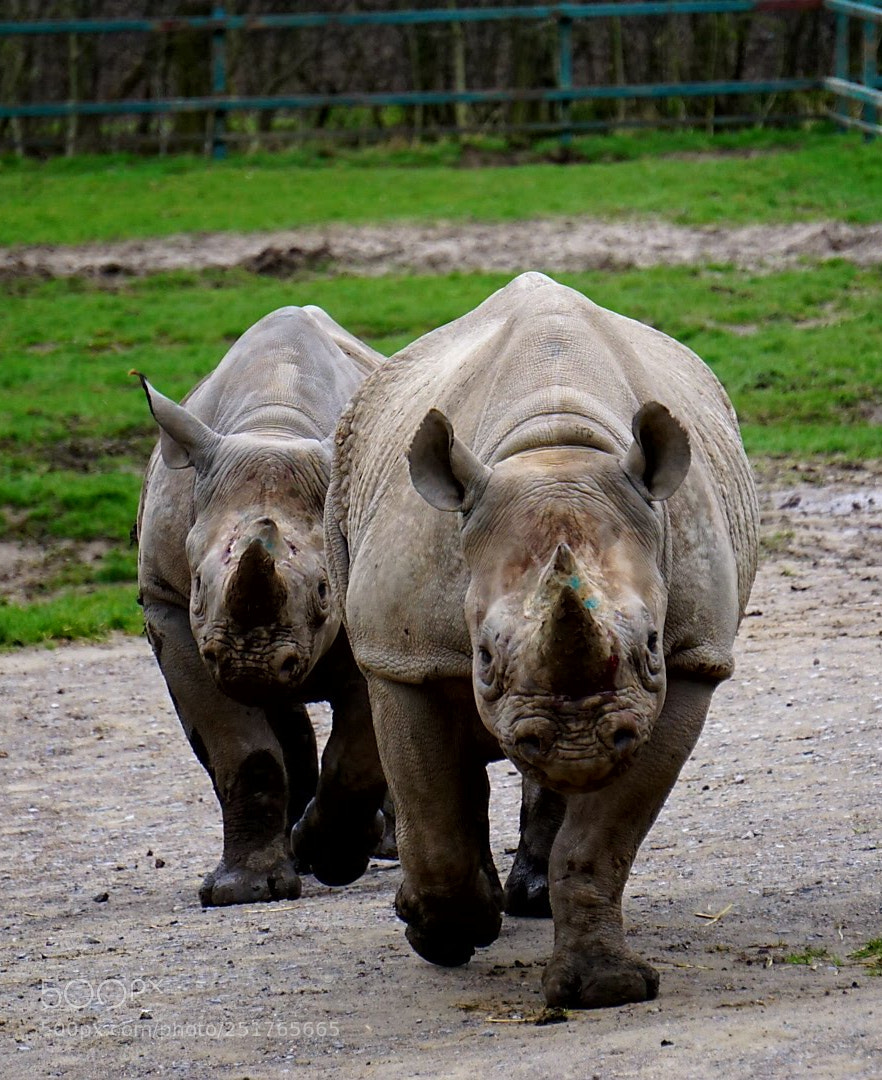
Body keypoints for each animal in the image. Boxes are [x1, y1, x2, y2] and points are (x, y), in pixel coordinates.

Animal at [135, 305, 391, 907]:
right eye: (198, 584)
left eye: (323, 592)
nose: (248, 663)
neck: (276, 426)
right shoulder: (168, 607)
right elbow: (244, 753)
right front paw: (244, 891)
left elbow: (358, 756)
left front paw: (334, 859)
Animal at [321, 273, 759, 1008]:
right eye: (485, 657)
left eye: (649, 645)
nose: (577, 742)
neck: (557, 450)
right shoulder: (405, 656)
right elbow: (432, 812)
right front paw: (444, 935)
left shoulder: (690, 661)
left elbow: (599, 843)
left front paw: (603, 989)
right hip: (347, 479)